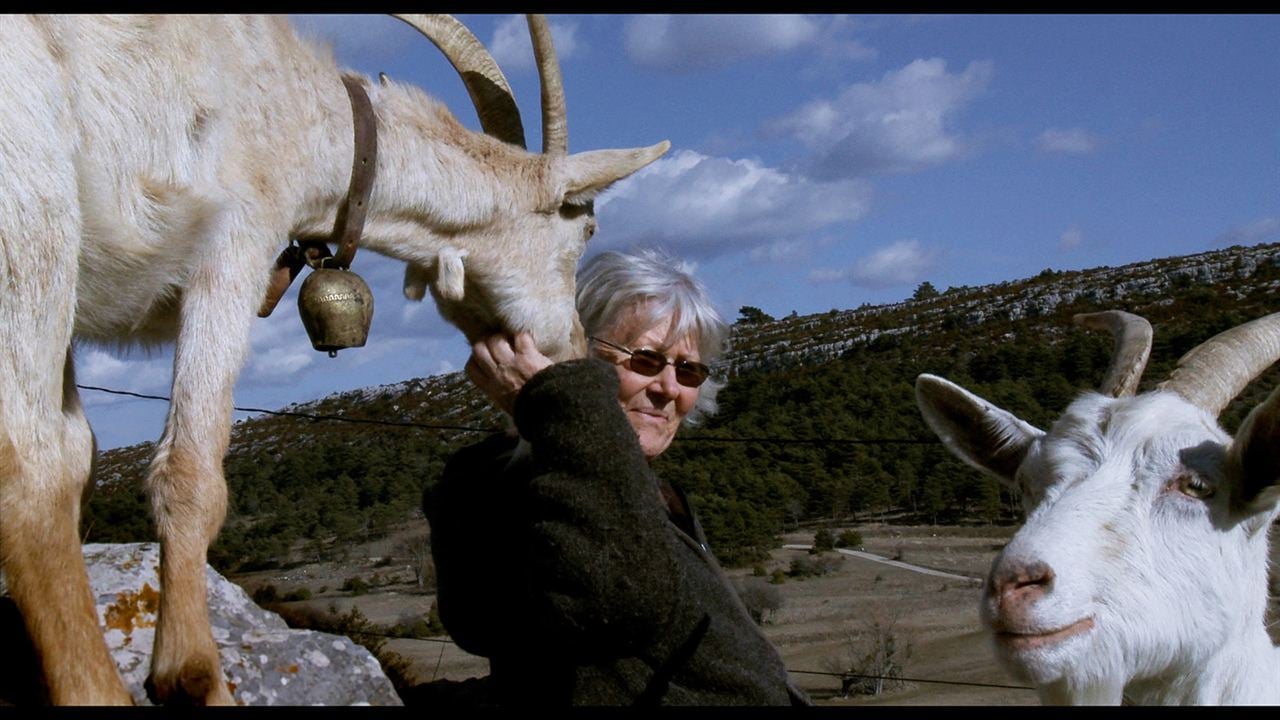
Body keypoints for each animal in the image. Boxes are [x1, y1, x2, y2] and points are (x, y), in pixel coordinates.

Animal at [0, 14, 665, 702]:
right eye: (586, 228)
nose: (576, 347)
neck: (305, 111)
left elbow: (83, 455)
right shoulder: (233, 246)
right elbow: (187, 472)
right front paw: (192, 675)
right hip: (32, 202)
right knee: (30, 464)